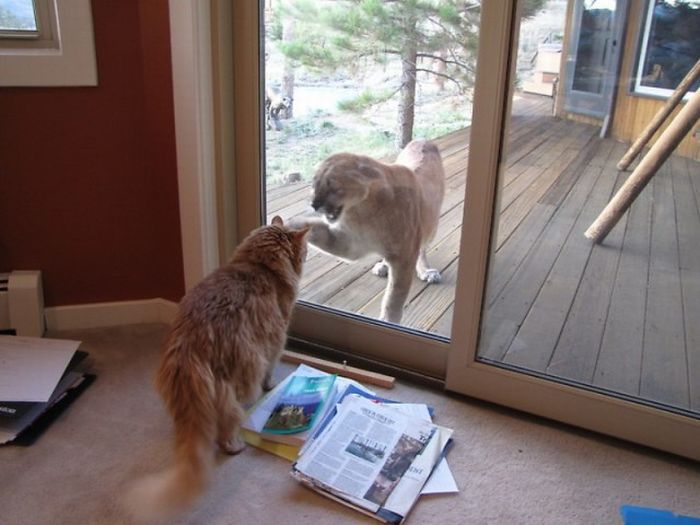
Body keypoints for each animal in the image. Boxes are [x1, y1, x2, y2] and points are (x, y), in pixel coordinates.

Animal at [127, 215, 308, 516]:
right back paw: (234, 445)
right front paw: (271, 385)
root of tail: (188, 346)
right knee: (227, 424)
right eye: (303, 251)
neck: (260, 266)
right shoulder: (276, 338)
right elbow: (271, 368)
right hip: (234, 382)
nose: (306, 256)